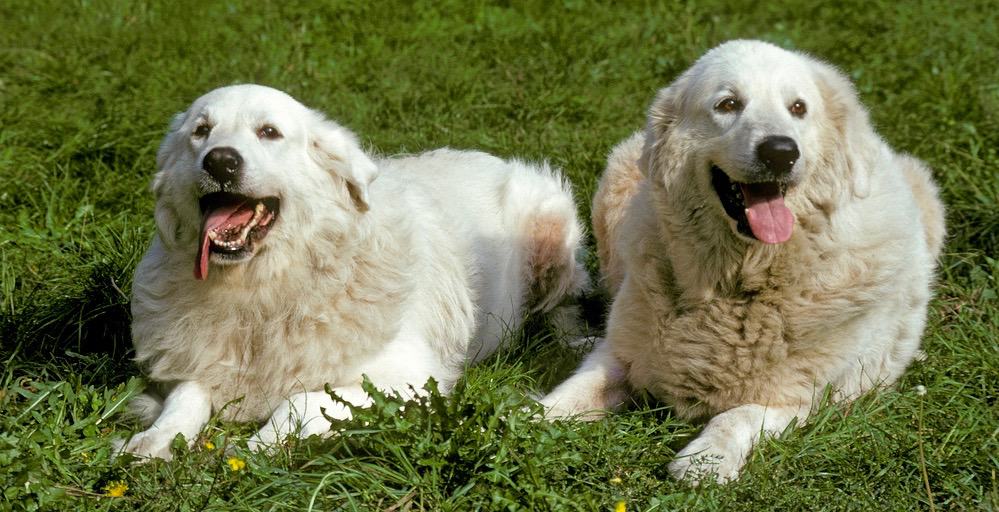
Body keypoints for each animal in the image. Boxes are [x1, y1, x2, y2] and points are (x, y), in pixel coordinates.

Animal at [118, 85, 588, 460]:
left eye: (268, 132)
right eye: (201, 131)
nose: (219, 161)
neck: (267, 289)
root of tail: (490, 157)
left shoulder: (412, 381)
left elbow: (300, 401)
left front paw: (251, 448)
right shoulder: (198, 358)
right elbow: (187, 395)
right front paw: (152, 440)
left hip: (551, 229)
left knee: (565, 304)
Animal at [548, 41, 944, 484]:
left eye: (798, 108)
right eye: (729, 104)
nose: (780, 152)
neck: (739, 281)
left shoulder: (797, 399)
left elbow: (737, 417)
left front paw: (705, 459)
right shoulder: (623, 355)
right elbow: (577, 388)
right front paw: (529, 415)